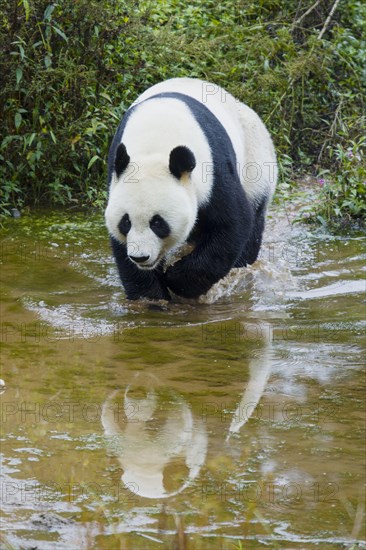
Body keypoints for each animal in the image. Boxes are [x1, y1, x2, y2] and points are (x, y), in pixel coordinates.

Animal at [105, 77, 278, 302]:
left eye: (158, 223)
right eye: (126, 221)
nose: (140, 256)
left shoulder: (213, 170)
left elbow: (233, 223)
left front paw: (178, 280)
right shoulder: (116, 173)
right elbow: (121, 248)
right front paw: (151, 297)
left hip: (255, 159)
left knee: (253, 222)